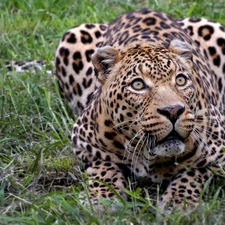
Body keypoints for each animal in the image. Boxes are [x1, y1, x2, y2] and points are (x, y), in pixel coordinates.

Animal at [6, 8, 225, 213]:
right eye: (138, 85)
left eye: (180, 80)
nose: (173, 111)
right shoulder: (84, 143)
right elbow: (104, 167)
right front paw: (101, 200)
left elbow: (194, 172)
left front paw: (179, 203)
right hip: (73, 35)